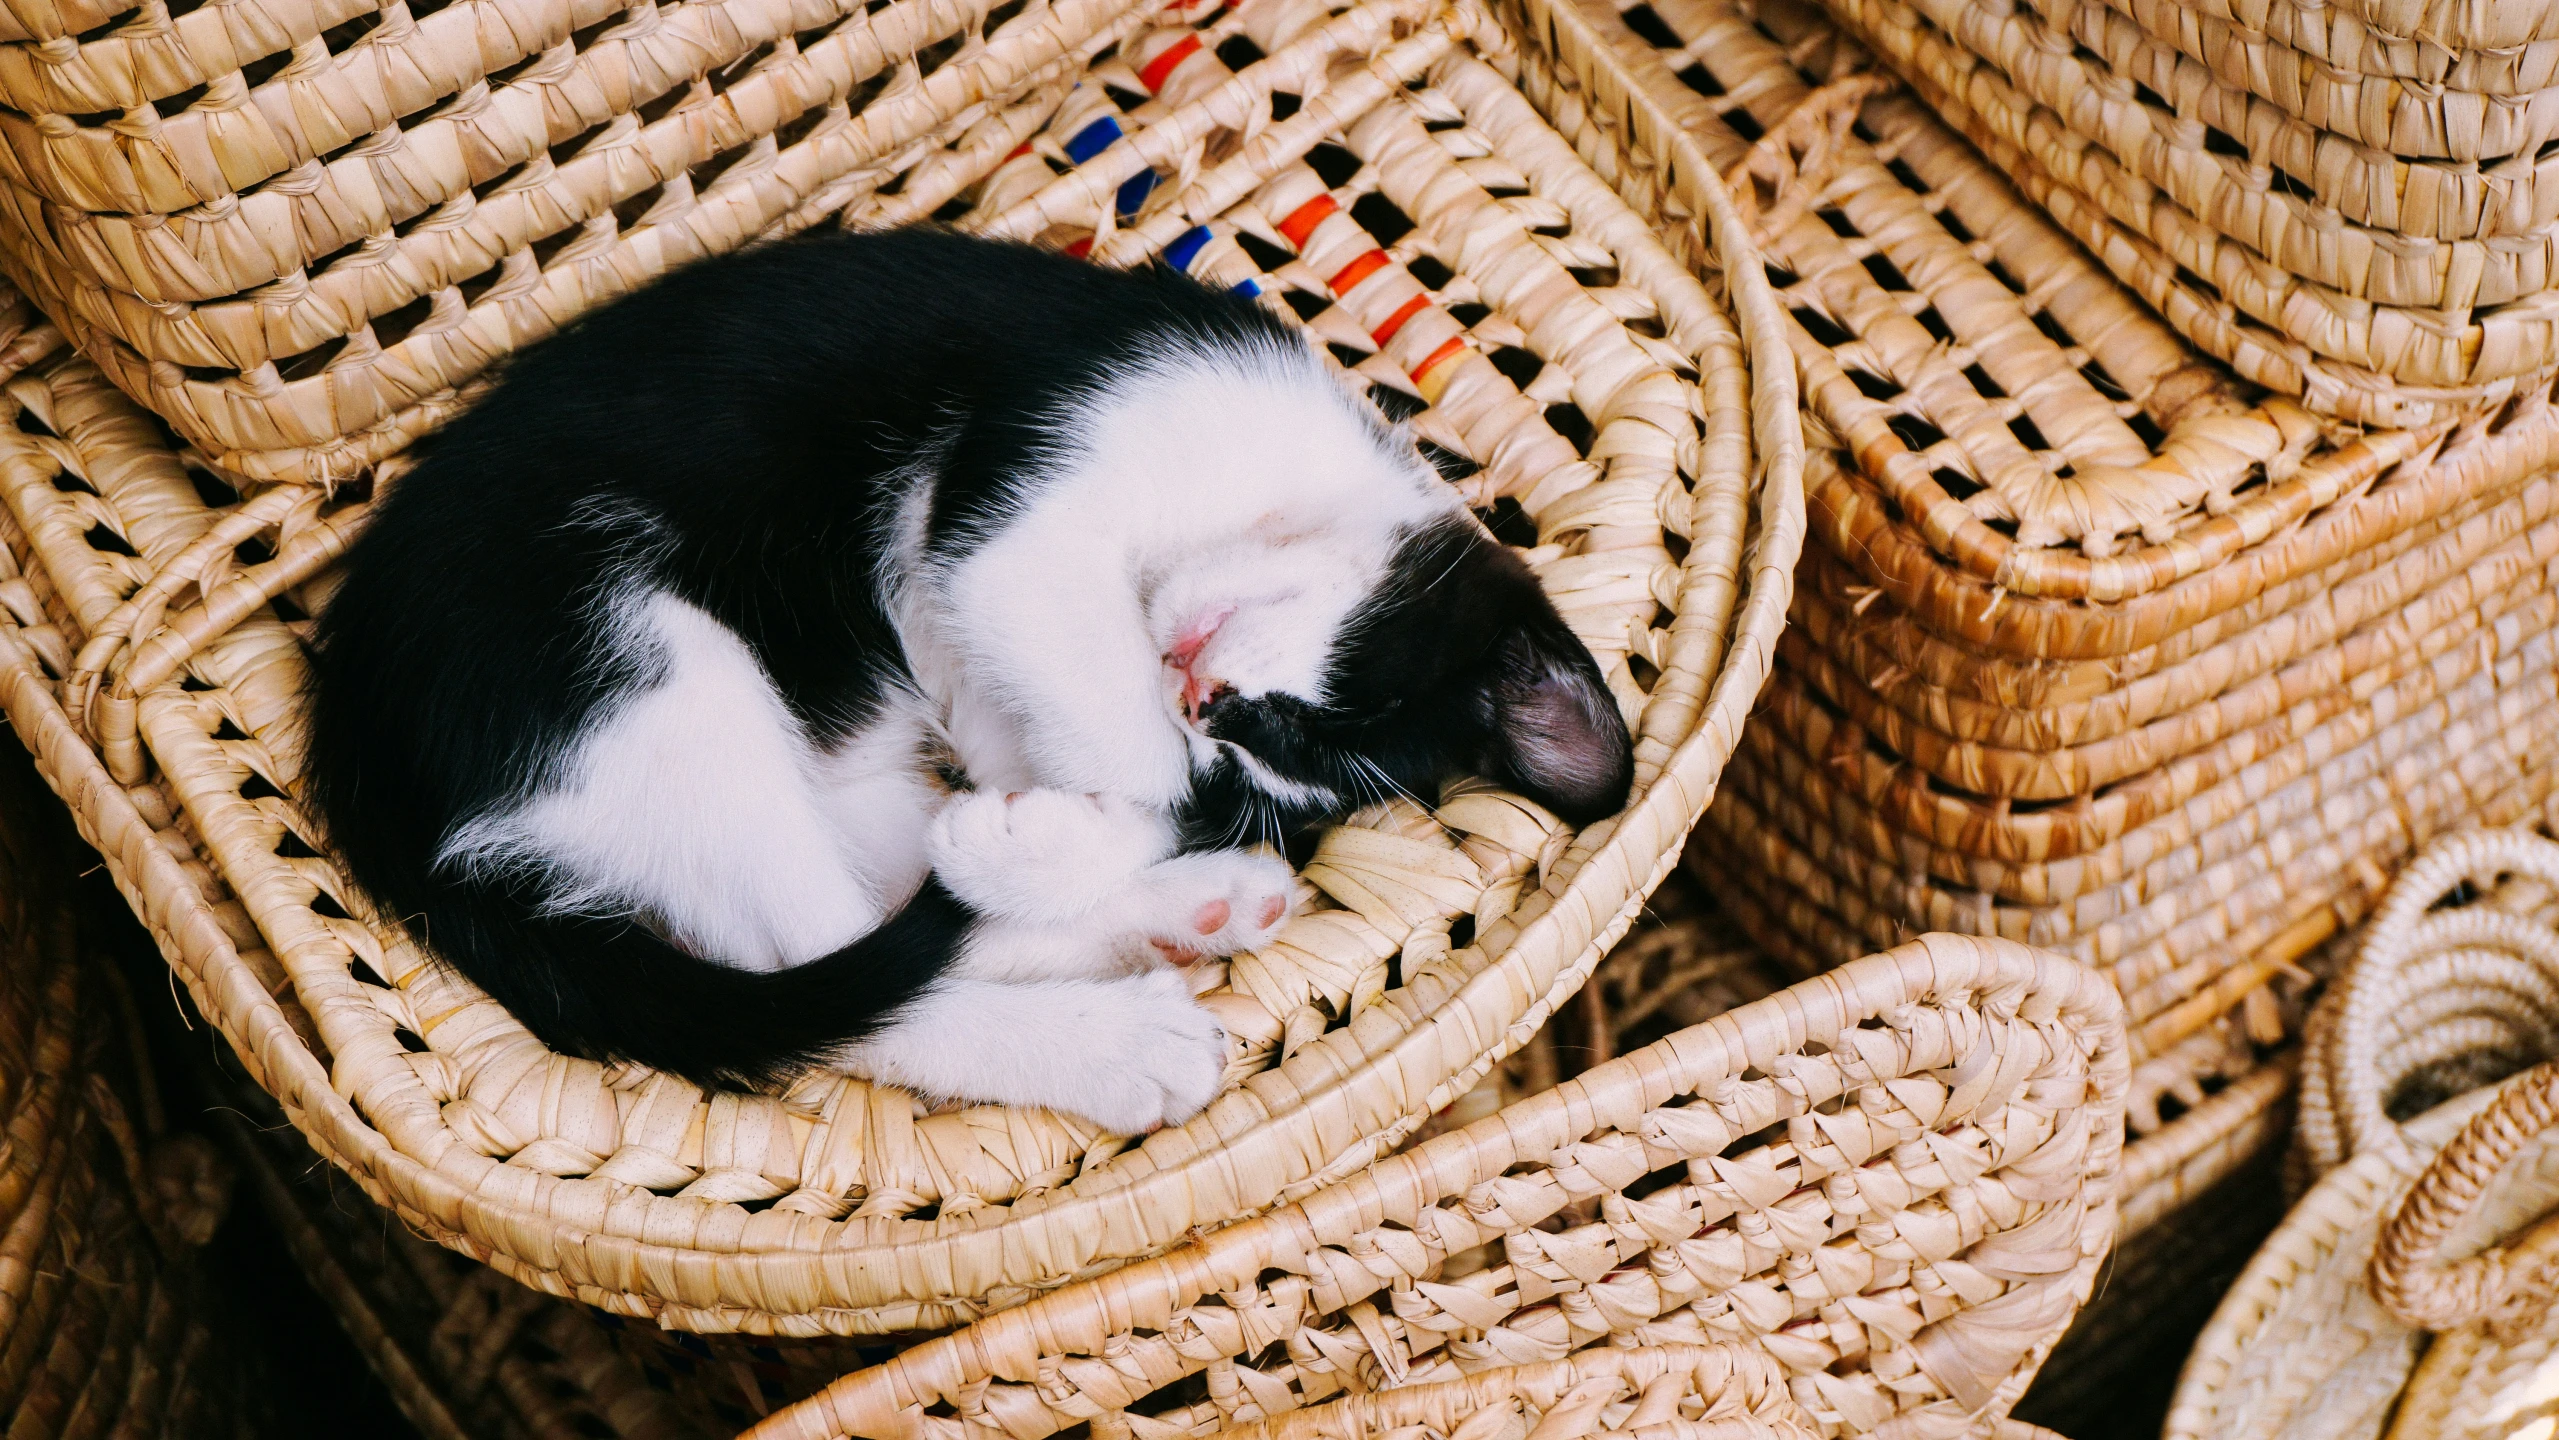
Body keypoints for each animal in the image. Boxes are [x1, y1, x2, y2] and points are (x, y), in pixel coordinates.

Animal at [304, 225, 1637, 1130]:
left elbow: (1098, 769)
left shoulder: (991, 653)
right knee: (816, 972)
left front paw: (1040, 841)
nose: (1207, 700)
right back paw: (1116, 1041)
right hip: (630, 663)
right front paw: (1069, 829)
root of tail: (356, 734)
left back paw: (1179, 909)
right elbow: (1124, 749)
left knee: (874, 914)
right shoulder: (1020, 514)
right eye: (1313, 723)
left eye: (1279, 755)